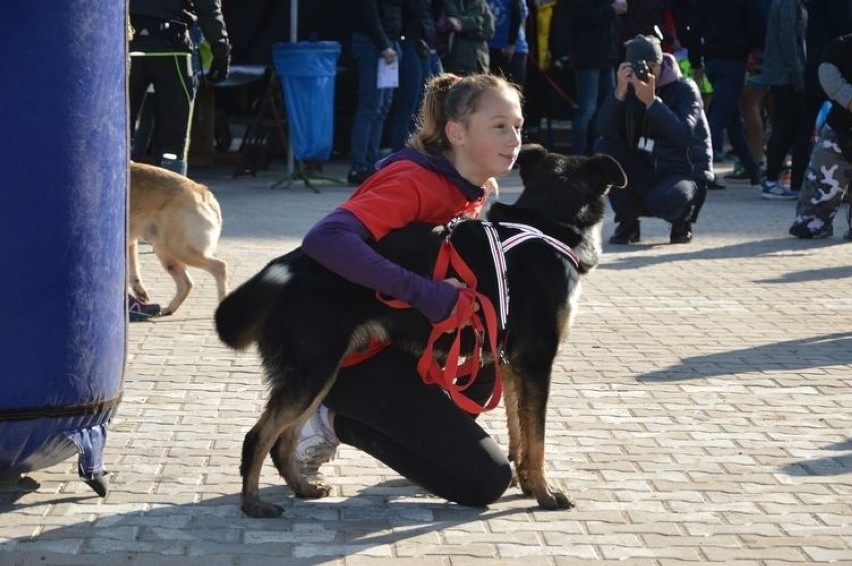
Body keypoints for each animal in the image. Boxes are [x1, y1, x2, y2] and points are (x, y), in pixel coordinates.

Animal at [128, 162, 228, 318]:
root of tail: (203, 192)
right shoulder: (130, 243)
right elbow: (133, 274)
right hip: (166, 253)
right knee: (187, 283)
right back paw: (170, 308)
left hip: (179, 249)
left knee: (220, 267)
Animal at [213, 145, 624, 520]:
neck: (547, 222)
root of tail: (290, 266)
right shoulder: (538, 360)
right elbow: (536, 438)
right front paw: (544, 492)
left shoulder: (510, 364)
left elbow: (519, 434)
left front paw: (526, 483)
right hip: (312, 371)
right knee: (259, 437)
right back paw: (253, 503)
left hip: (319, 375)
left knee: (283, 441)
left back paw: (302, 487)